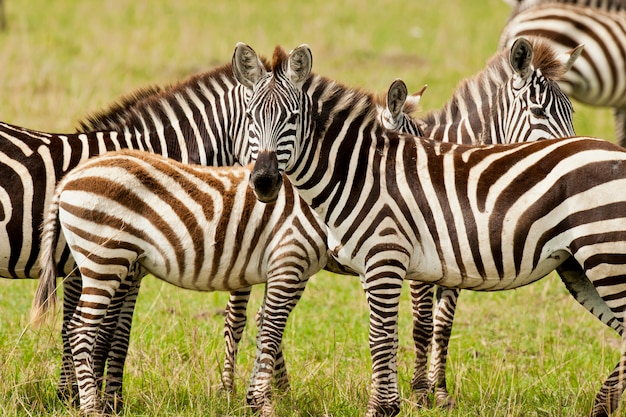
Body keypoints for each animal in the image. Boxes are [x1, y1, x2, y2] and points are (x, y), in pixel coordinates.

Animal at [234, 41, 626, 416]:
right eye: (251, 117)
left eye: (292, 118)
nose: (265, 181)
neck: (360, 171)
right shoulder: (397, 266)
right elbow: (400, 333)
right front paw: (417, 396)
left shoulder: (393, 261)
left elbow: (405, 332)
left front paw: (410, 400)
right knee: (269, 318)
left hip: (604, 258)